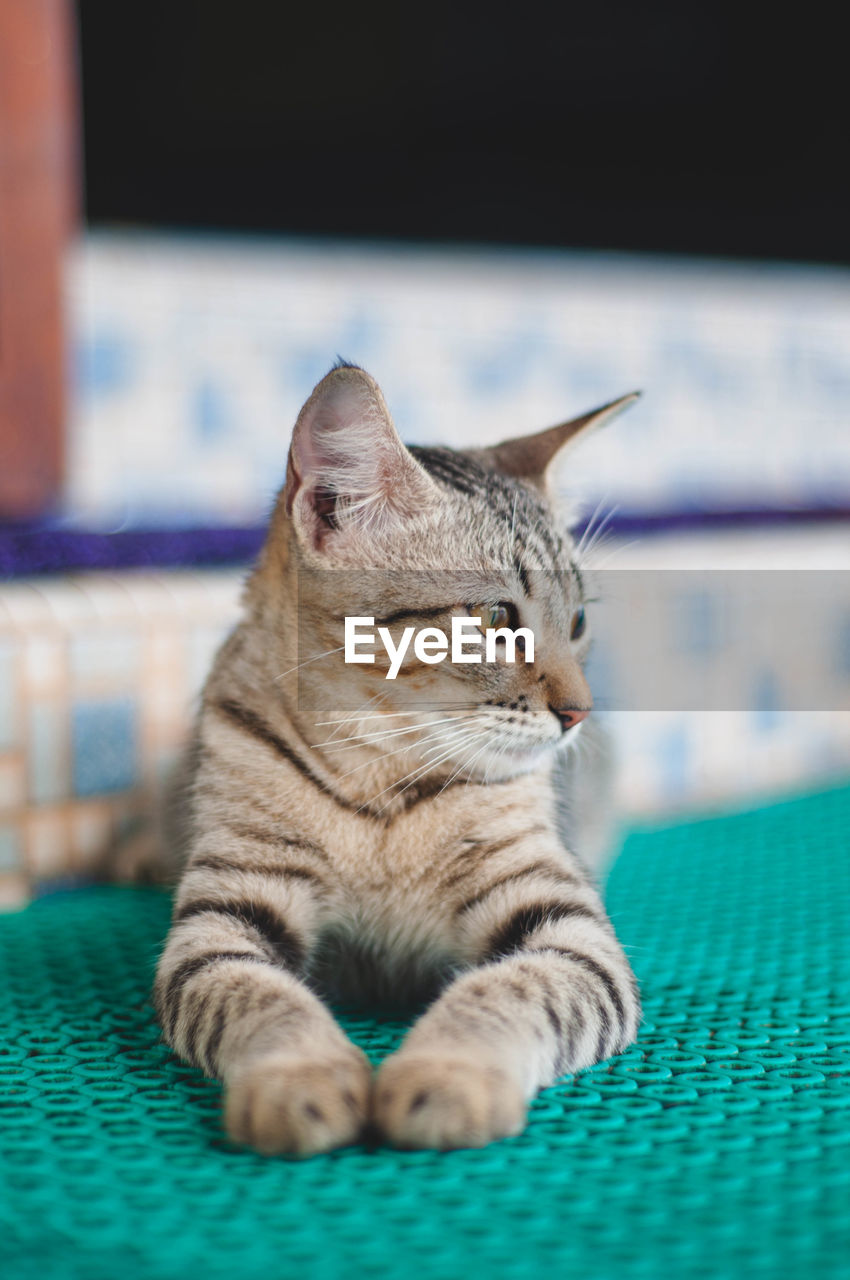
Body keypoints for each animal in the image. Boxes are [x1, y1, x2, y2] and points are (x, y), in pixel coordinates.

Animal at [152, 363, 640, 1162]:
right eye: (495, 618)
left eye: (577, 622)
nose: (581, 712)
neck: (377, 781)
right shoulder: (224, 916)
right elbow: (260, 997)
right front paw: (301, 1079)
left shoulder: (564, 924)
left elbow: (508, 989)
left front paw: (449, 1073)